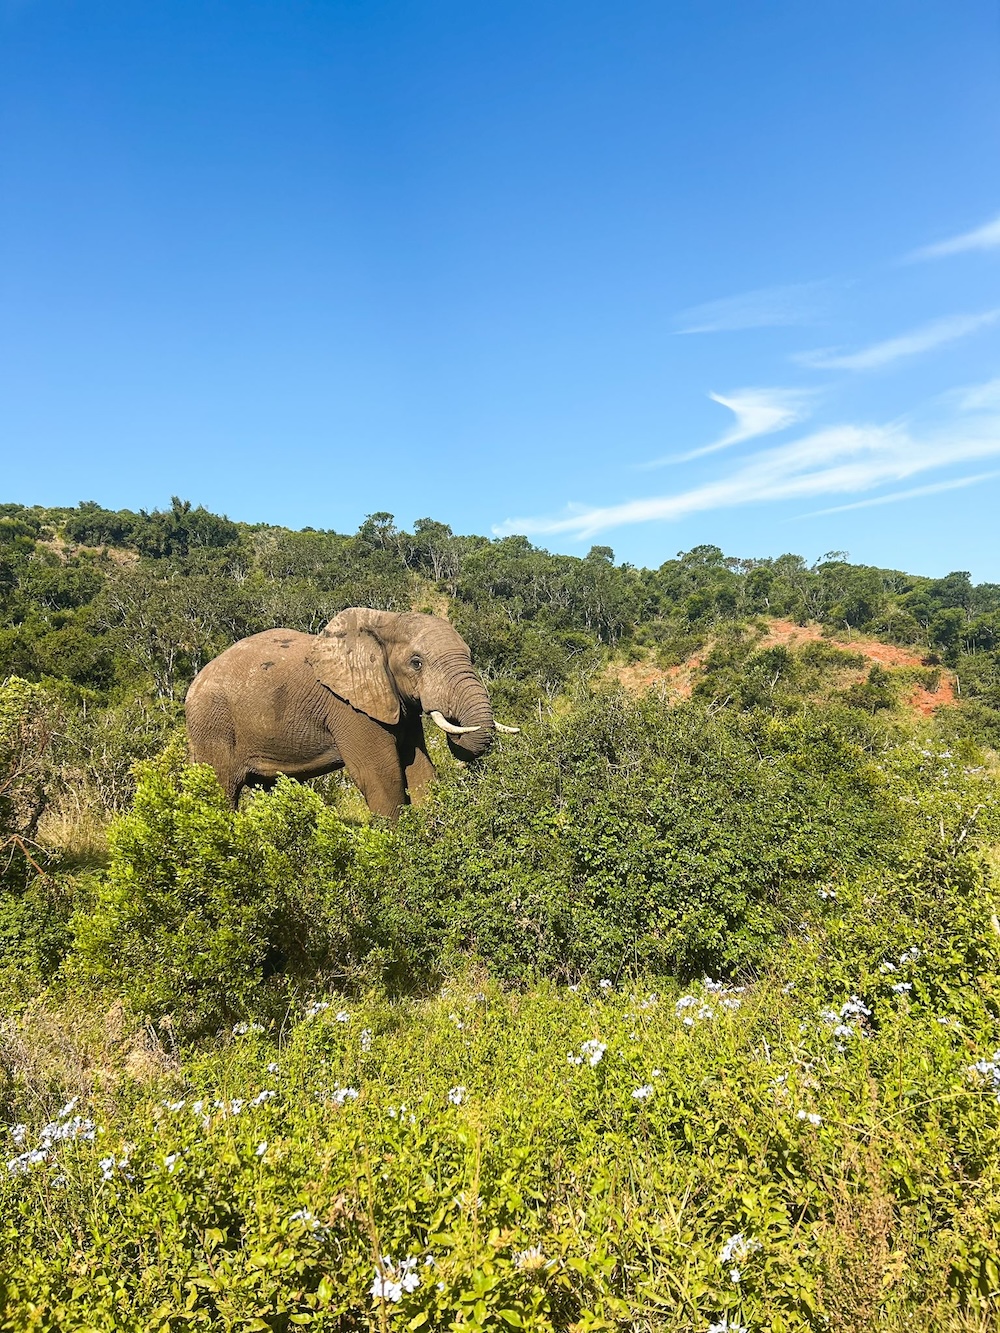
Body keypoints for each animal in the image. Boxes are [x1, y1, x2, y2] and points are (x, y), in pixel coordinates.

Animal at [185, 610, 517, 815]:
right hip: (212, 724)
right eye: (416, 663)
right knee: (223, 789)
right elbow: (382, 776)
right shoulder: (349, 708)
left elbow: (420, 769)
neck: (385, 621)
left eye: (471, 656)